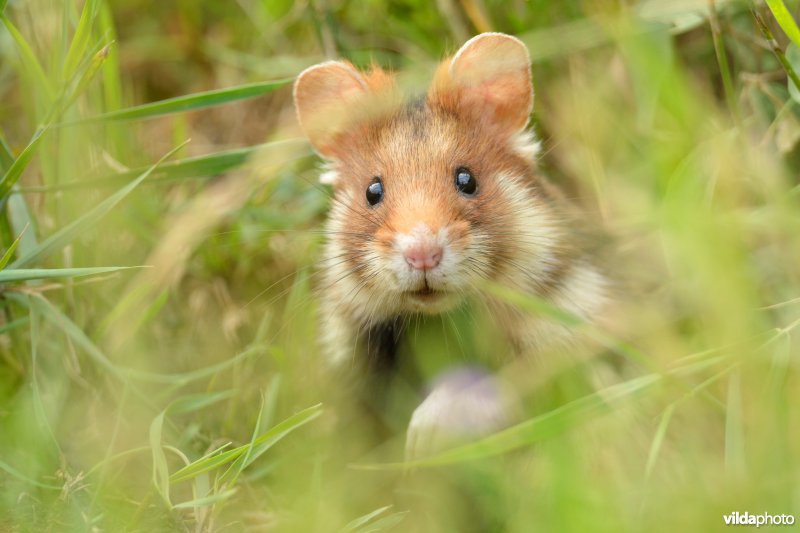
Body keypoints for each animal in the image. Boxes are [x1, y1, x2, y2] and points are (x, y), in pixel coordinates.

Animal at [293, 33, 608, 455]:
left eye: (467, 179)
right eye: (372, 191)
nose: (422, 254)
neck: (440, 321)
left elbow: (508, 380)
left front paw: (421, 437)